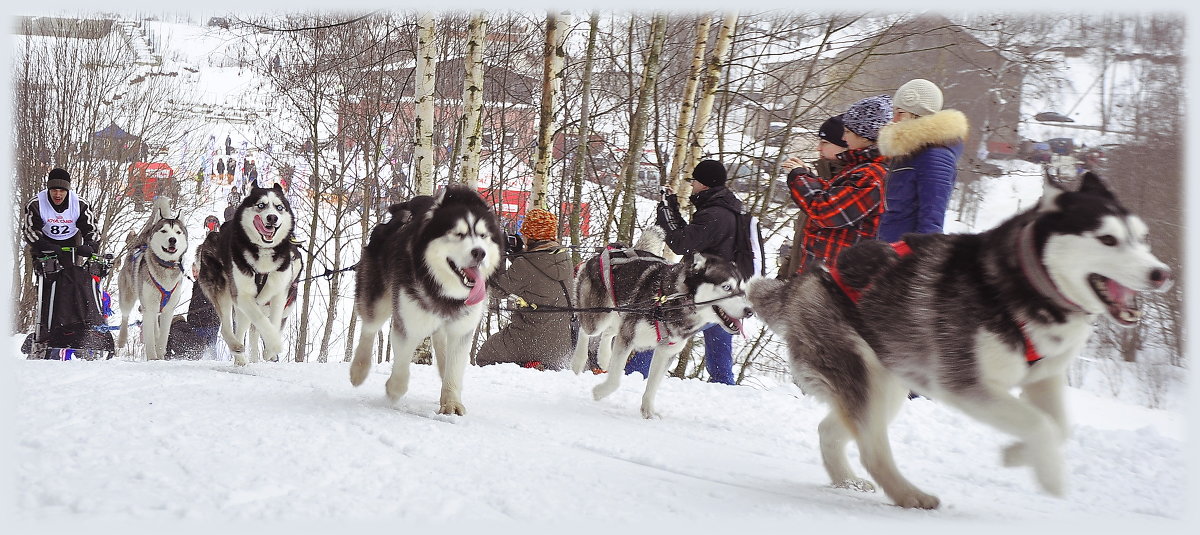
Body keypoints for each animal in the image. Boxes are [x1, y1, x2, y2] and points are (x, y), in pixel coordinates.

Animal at [195, 184, 300, 367]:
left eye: (279, 207)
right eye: (261, 205)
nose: (272, 218)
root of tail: (212, 235)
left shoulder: (279, 294)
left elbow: (273, 322)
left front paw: (269, 351)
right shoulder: (243, 296)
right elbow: (261, 320)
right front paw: (274, 344)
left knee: (240, 329)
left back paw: (240, 358)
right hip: (223, 292)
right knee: (227, 328)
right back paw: (236, 348)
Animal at [348, 185, 501, 415]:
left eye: (483, 235)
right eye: (458, 234)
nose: (480, 252)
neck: (444, 292)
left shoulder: (462, 328)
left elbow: (455, 366)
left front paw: (451, 400)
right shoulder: (409, 320)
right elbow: (402, 359)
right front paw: (394, 389)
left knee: (440, 340)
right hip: (378, 297)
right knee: (369, 328)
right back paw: (359, 369)